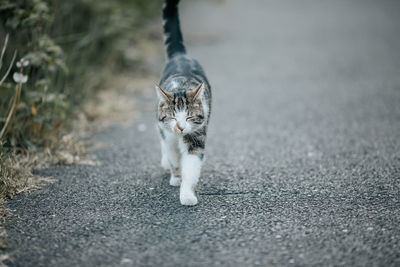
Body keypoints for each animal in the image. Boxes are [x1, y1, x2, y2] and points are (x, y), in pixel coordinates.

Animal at [156, 0, 212, 207]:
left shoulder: (196, 134)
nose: (180, 127)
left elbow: (191, 164)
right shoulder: (167, 132)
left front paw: (187, 194)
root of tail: (180, 55)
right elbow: (173, 156)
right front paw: (176, 177)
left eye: (188, 116)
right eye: (173, 116)